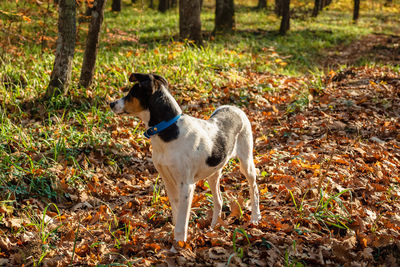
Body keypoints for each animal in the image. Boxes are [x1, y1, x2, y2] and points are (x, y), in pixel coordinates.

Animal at [109, 74, 260, 249]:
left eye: (132, 93)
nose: (111, 104)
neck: (167, 131)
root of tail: (234, 108)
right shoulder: (168, 180)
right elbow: (176, 213)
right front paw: (175, 241)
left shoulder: (186, 185)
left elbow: (182, 221)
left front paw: (178, 245)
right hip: (213, 173)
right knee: (219, 201)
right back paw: (213, 228)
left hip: (246, 162)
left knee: (254, 189)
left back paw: (255, 218)